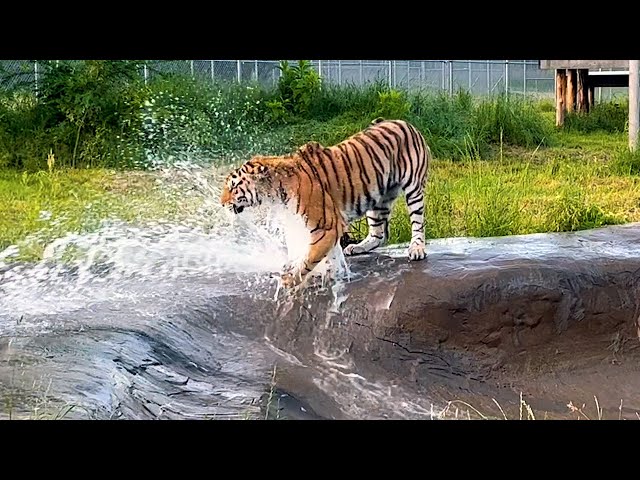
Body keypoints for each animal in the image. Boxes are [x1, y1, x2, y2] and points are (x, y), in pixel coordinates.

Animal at [219, 118, 430, 288]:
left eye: (233, 187)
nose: (221, 203)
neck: (277, 191)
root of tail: (403, 122)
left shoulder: (326, 227)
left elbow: (309, 258)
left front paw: (289, 279)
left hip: (413, 187)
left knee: (417, 222)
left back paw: (417, 249)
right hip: (378, 199)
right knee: (380, 234)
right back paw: (358, 247)